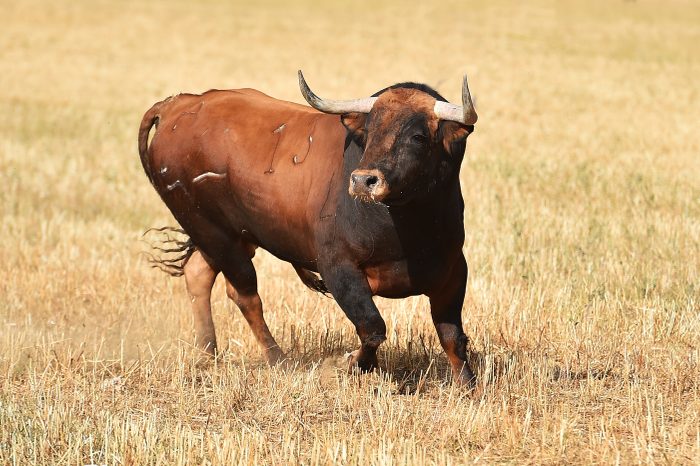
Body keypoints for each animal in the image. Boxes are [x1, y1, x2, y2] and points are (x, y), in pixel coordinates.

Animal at [139, 72, 478, 386]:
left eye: (418, 136)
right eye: (369, 132)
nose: (363, 181)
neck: (407, 229)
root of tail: (176, 105)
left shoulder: (453, 271)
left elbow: (451, 335)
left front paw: (467, 386)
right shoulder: (339, 269)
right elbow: (372, 327)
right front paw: (352, 363)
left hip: (227, 236)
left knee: (199, 273)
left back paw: (208, 353)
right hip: (214, 233)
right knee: (245, 294)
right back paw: (276, 358)